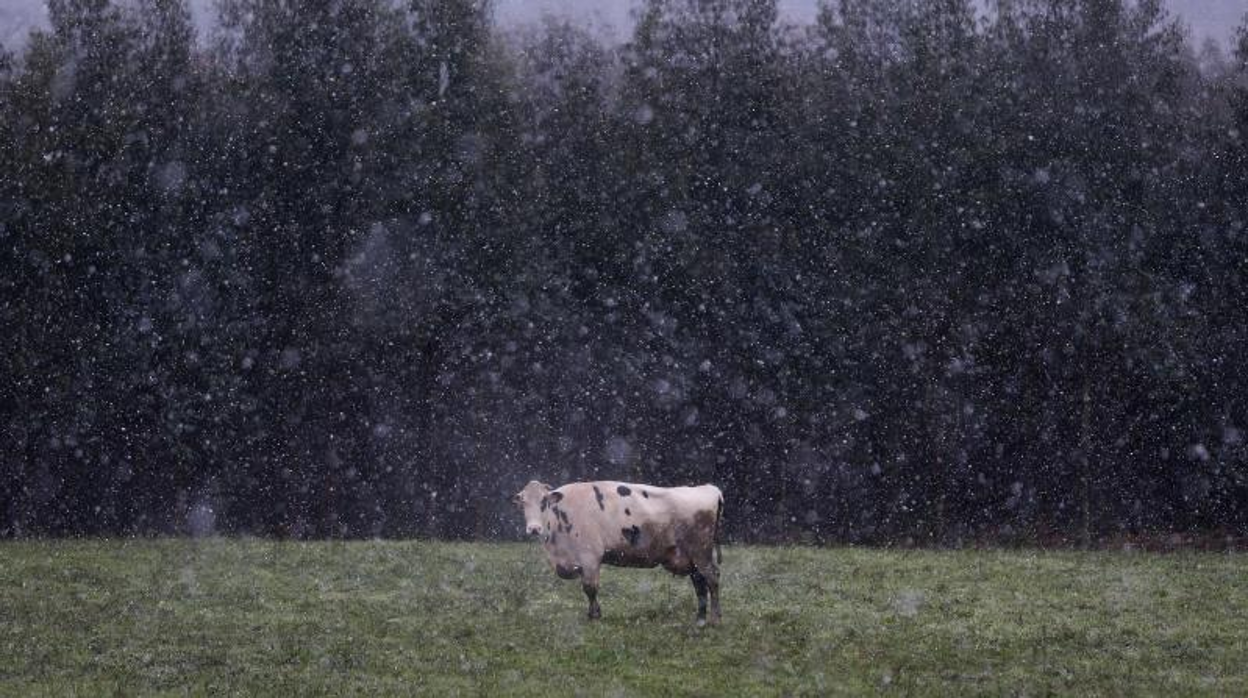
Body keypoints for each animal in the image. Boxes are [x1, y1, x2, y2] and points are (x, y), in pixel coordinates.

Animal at [506, 479, 723, 629]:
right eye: (523, 503)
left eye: (544, 501)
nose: (534, 529)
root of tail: (708, 488)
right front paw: (593, 614)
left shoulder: (590, 557)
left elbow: (590, 588)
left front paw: (594, 617)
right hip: (691, 557)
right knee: (699, 584)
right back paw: (700, 620)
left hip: (701, 552)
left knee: (712, 579)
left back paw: (714, 620)